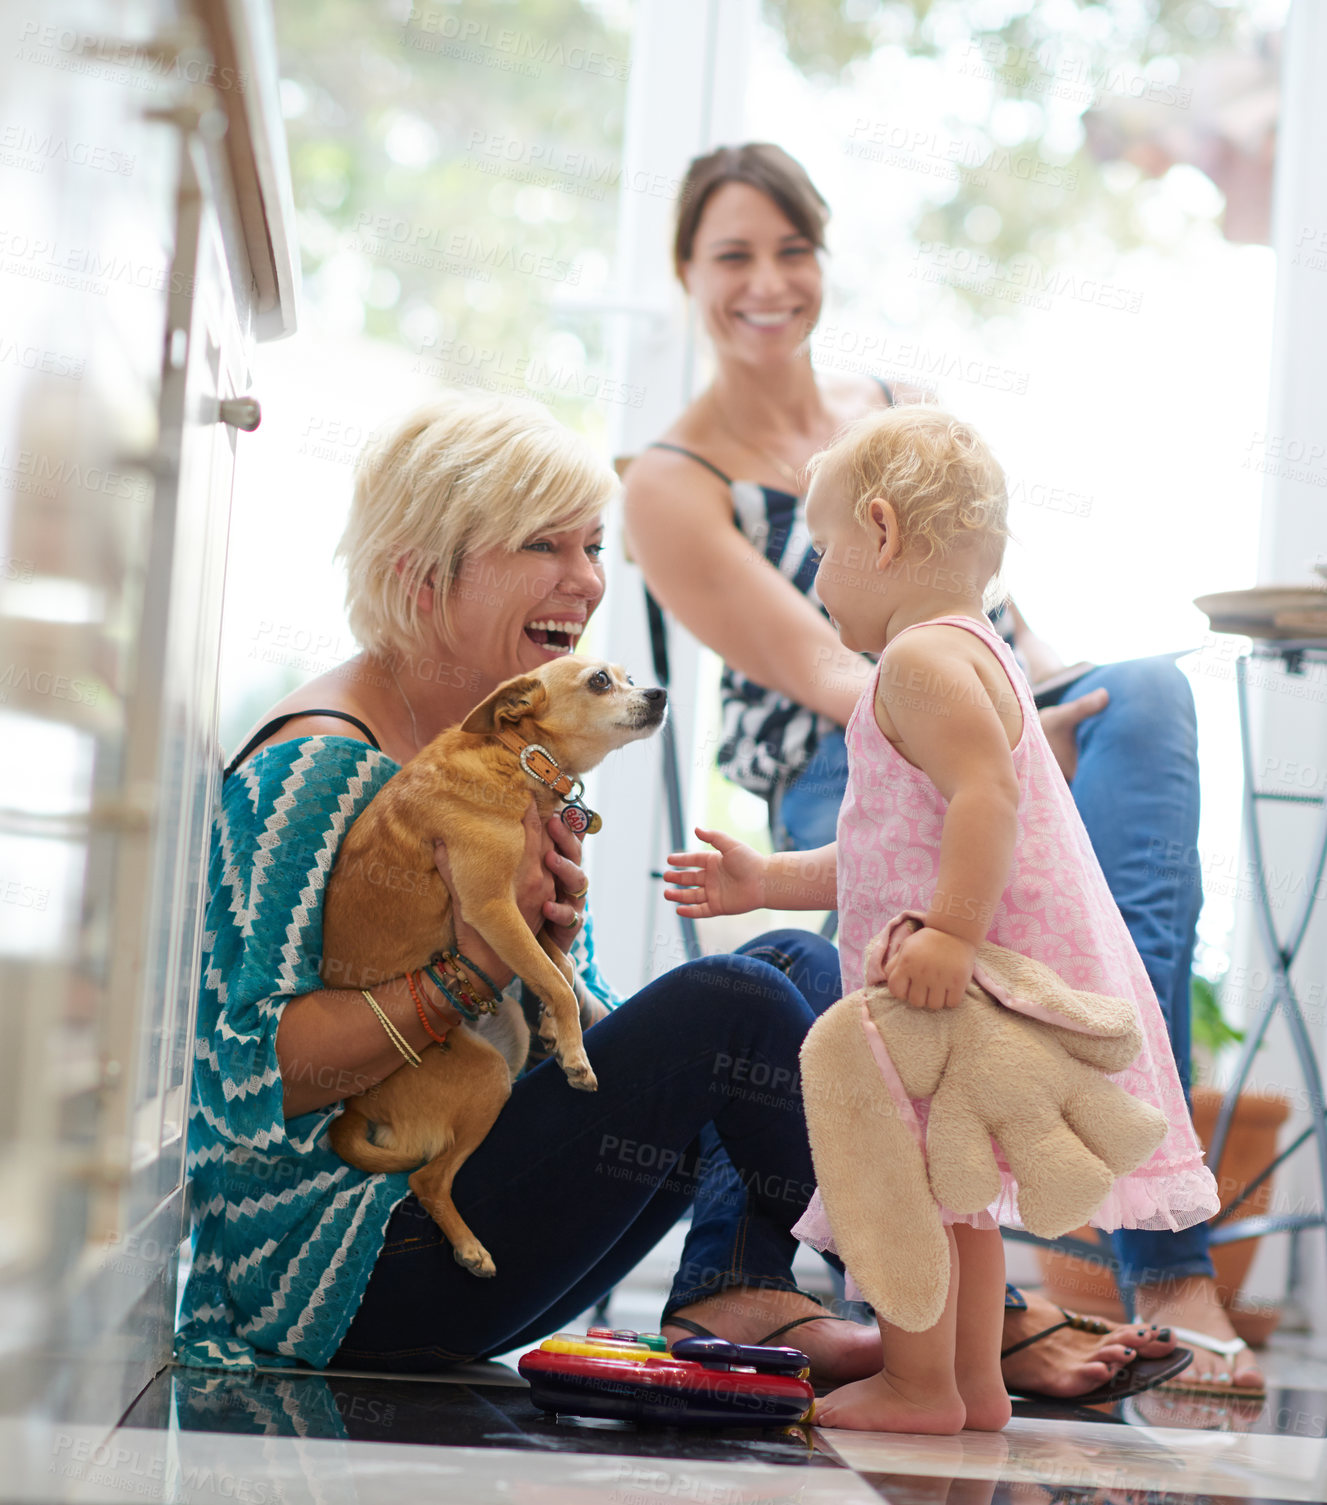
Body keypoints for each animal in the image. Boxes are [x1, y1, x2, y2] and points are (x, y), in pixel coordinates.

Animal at [318, 656, 668, 1270]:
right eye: (601, 681)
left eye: (630, 678)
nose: (659, 693)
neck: (520, 756)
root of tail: (355, 1107)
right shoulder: (494, 908)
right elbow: (556, 977)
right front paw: (576, 1053)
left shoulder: (535, 912)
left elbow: (558, 968)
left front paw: (556, 1027)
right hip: (486, 1081)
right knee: (427, 1180)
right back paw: (469, 1248)